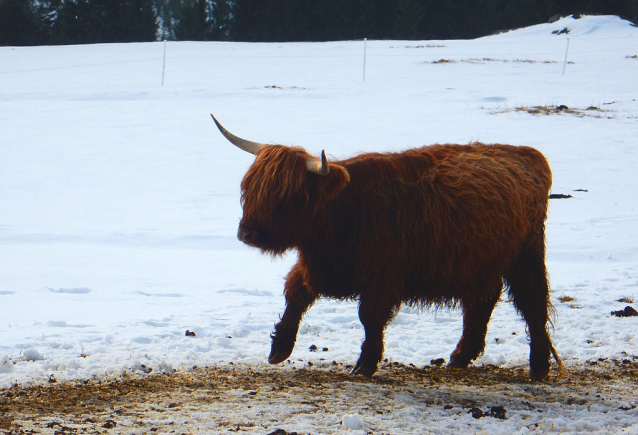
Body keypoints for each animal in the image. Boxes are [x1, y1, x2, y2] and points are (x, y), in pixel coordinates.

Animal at [214, 115, 564, 382]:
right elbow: (294, 295)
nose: (247, 232)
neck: (343, 211)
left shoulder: (383, 277)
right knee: (482, 301)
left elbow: (370, 317)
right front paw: (279, 349)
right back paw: (460, 356)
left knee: (533, 304)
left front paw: (365, 365)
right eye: (249, 188)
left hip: (526, 254)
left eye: (293, 196)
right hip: (479, 263)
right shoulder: (316, 268)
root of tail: (528, 154)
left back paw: (539, 367)